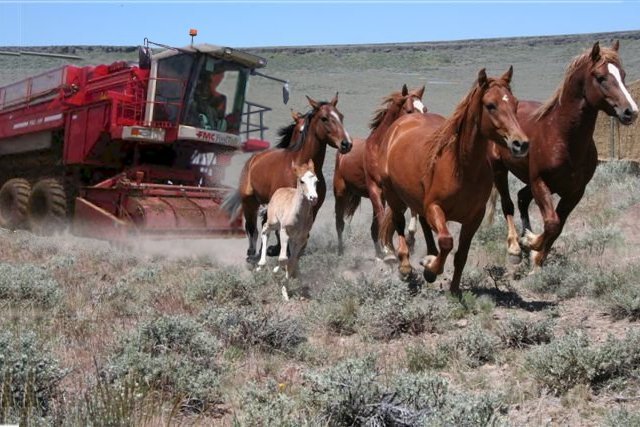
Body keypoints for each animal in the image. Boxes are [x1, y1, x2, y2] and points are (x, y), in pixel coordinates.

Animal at [224, 94, 356, 262]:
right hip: (249, 201)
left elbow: (301, 236)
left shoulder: (313, 209)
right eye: (324, 118)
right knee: (252, 229)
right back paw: (252, 255)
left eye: (341, 116)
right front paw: (275, 251)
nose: (347, 143)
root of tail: (253, 159)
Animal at [332, 84, 428, 258]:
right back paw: (341, 252)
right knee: (340, 223)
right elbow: (384, 220)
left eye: (425, 109)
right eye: (409, 110)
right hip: (341, 192)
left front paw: (410, 241)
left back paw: (379, 254)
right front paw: (391, 250)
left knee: (372, 229)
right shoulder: (375, 189)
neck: (381, 149)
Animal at [380, 68, 528, 296]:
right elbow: (447, 242)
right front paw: (431, 268)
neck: (461, 167)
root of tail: (400, 125)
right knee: (399, 223)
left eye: (515, 103)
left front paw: (454, 289)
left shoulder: (474, 217)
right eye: (491, 105)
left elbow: (461, 255)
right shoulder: (435, 207)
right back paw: (405, 266)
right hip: (393, 195)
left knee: (422, 224)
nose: (520, 143)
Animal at [490, 41, 636, 268]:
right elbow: (551, 223)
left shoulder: (575, 191)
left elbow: (557, 226)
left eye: (623, 74)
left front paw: (536, 258)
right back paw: (515, 248)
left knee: (522, 198)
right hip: (499, 168)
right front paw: (530, 243)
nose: (631, 111)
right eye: (600, 77)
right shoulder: (540, 181)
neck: (562, 137)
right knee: (508, 204)